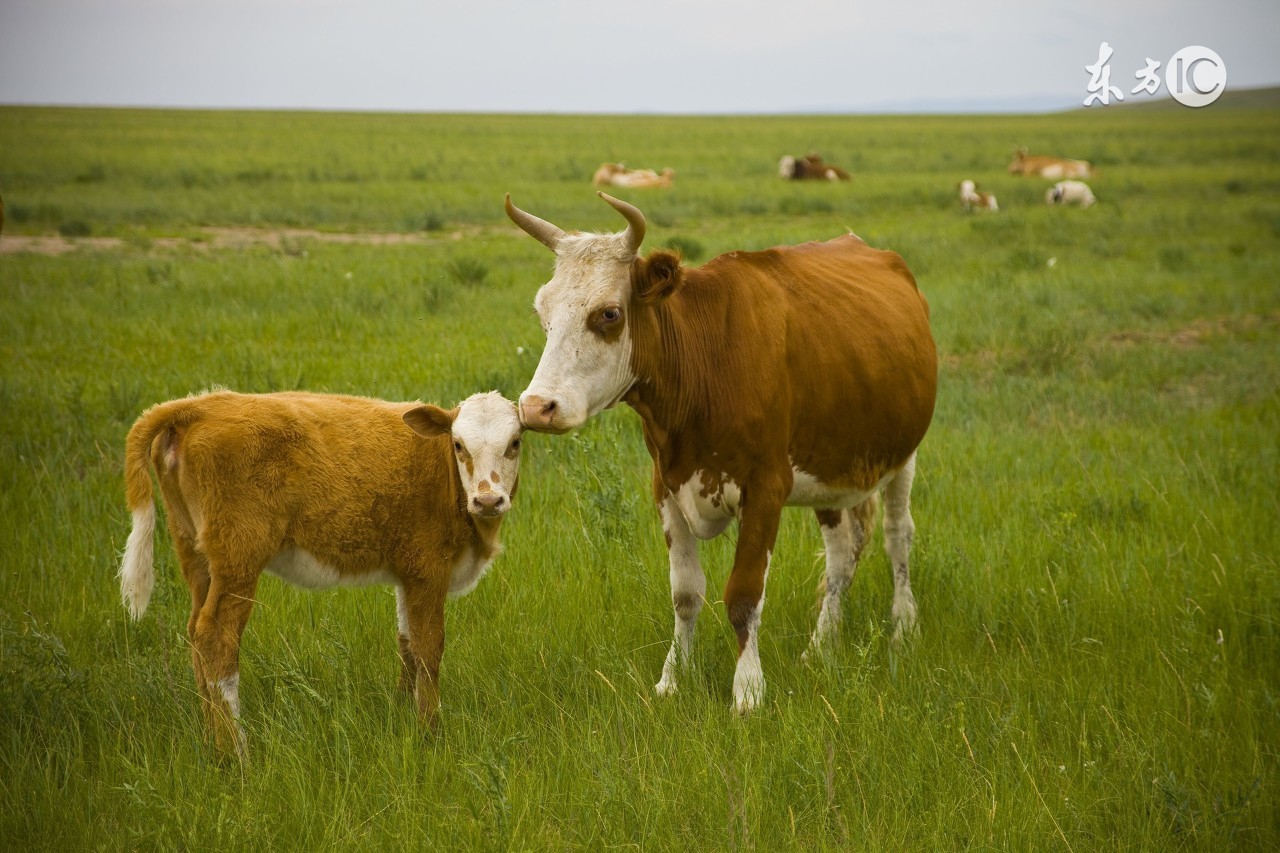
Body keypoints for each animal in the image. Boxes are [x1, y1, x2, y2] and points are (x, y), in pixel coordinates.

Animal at [116, 389, 524, 753]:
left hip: (194, 551)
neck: (445, 476)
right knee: (216, 639)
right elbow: (428, 649)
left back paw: (211, 744)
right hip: (239, 558)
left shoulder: (407, 573)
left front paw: (402, 715)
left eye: (515, 443)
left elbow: (406, 644)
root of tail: (201, 405)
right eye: (458, 445)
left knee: (195, 634)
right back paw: (237, 754)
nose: (489, 500)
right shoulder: (428, 568)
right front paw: (429, 734)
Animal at [504, 190, 936, 712]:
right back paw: (821, 645)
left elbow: (743, 596)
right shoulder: (666, 486)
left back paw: (904, 628)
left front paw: (748, 691)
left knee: (898, 535)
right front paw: (672, 679)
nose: (536, 407)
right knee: (840, 554)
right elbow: (685, 593)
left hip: (903, 457)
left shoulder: (766, 489)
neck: (706, 366)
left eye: (609, 314)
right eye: (542, 312)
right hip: (830, 474)